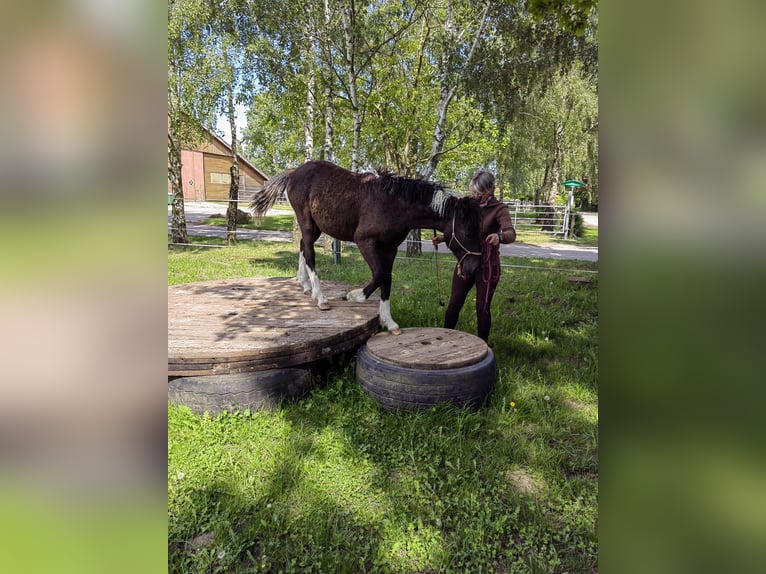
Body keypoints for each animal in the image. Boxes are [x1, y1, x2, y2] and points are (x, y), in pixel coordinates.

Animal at [250, 160, 480, 336]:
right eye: (468, 234)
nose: (473, 269)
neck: (394, 204)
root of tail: (293, 172)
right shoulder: (365, 242)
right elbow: (380, 275)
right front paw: (354, 296)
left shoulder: (390, 248)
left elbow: (387, 279)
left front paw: (389, 322)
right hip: (306, 221)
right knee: (309, 253)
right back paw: (320, 297)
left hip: (317, 225)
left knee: (303, 248)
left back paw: (305, 285)